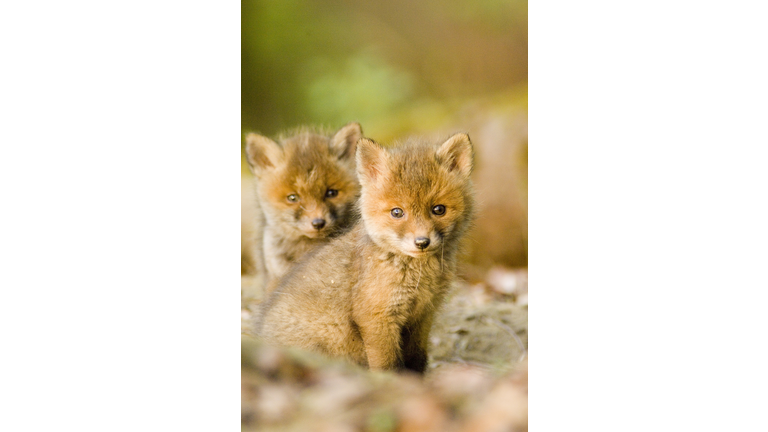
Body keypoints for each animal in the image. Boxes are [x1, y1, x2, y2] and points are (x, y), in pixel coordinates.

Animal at [256, 133, 475, 373]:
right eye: (397, 212)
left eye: (439, 209)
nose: (422, 242)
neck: (419, 278)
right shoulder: (377, 317)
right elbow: (388, 364)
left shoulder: (423, 316)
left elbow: (417, 361)